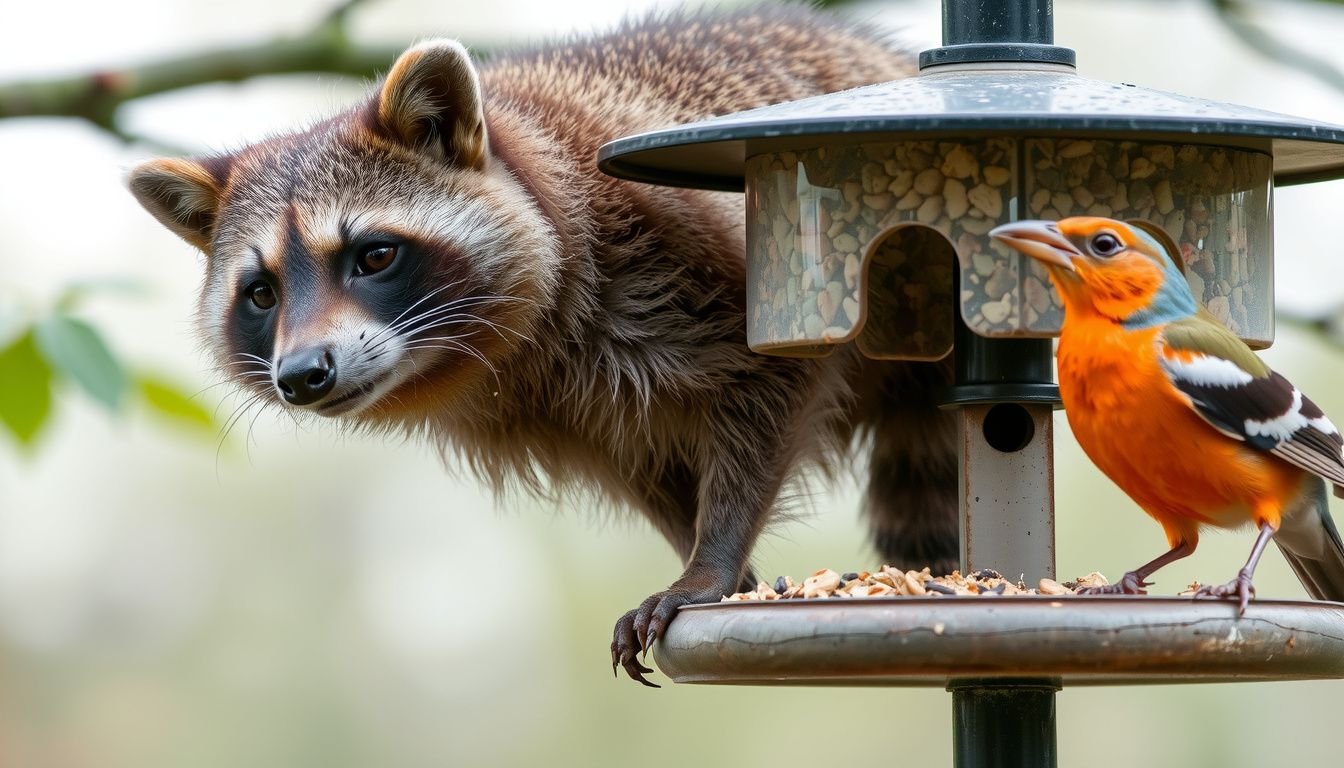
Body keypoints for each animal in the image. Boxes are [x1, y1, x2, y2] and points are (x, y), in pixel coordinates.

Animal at [127, 5, 956, 687]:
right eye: (261, 294)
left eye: (374, 256)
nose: (303, 374)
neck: (488, 360)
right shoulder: (564, 417)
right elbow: (650, 468)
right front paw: (712, 553)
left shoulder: (680, 240)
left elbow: (777, 385)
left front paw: (710, 558)